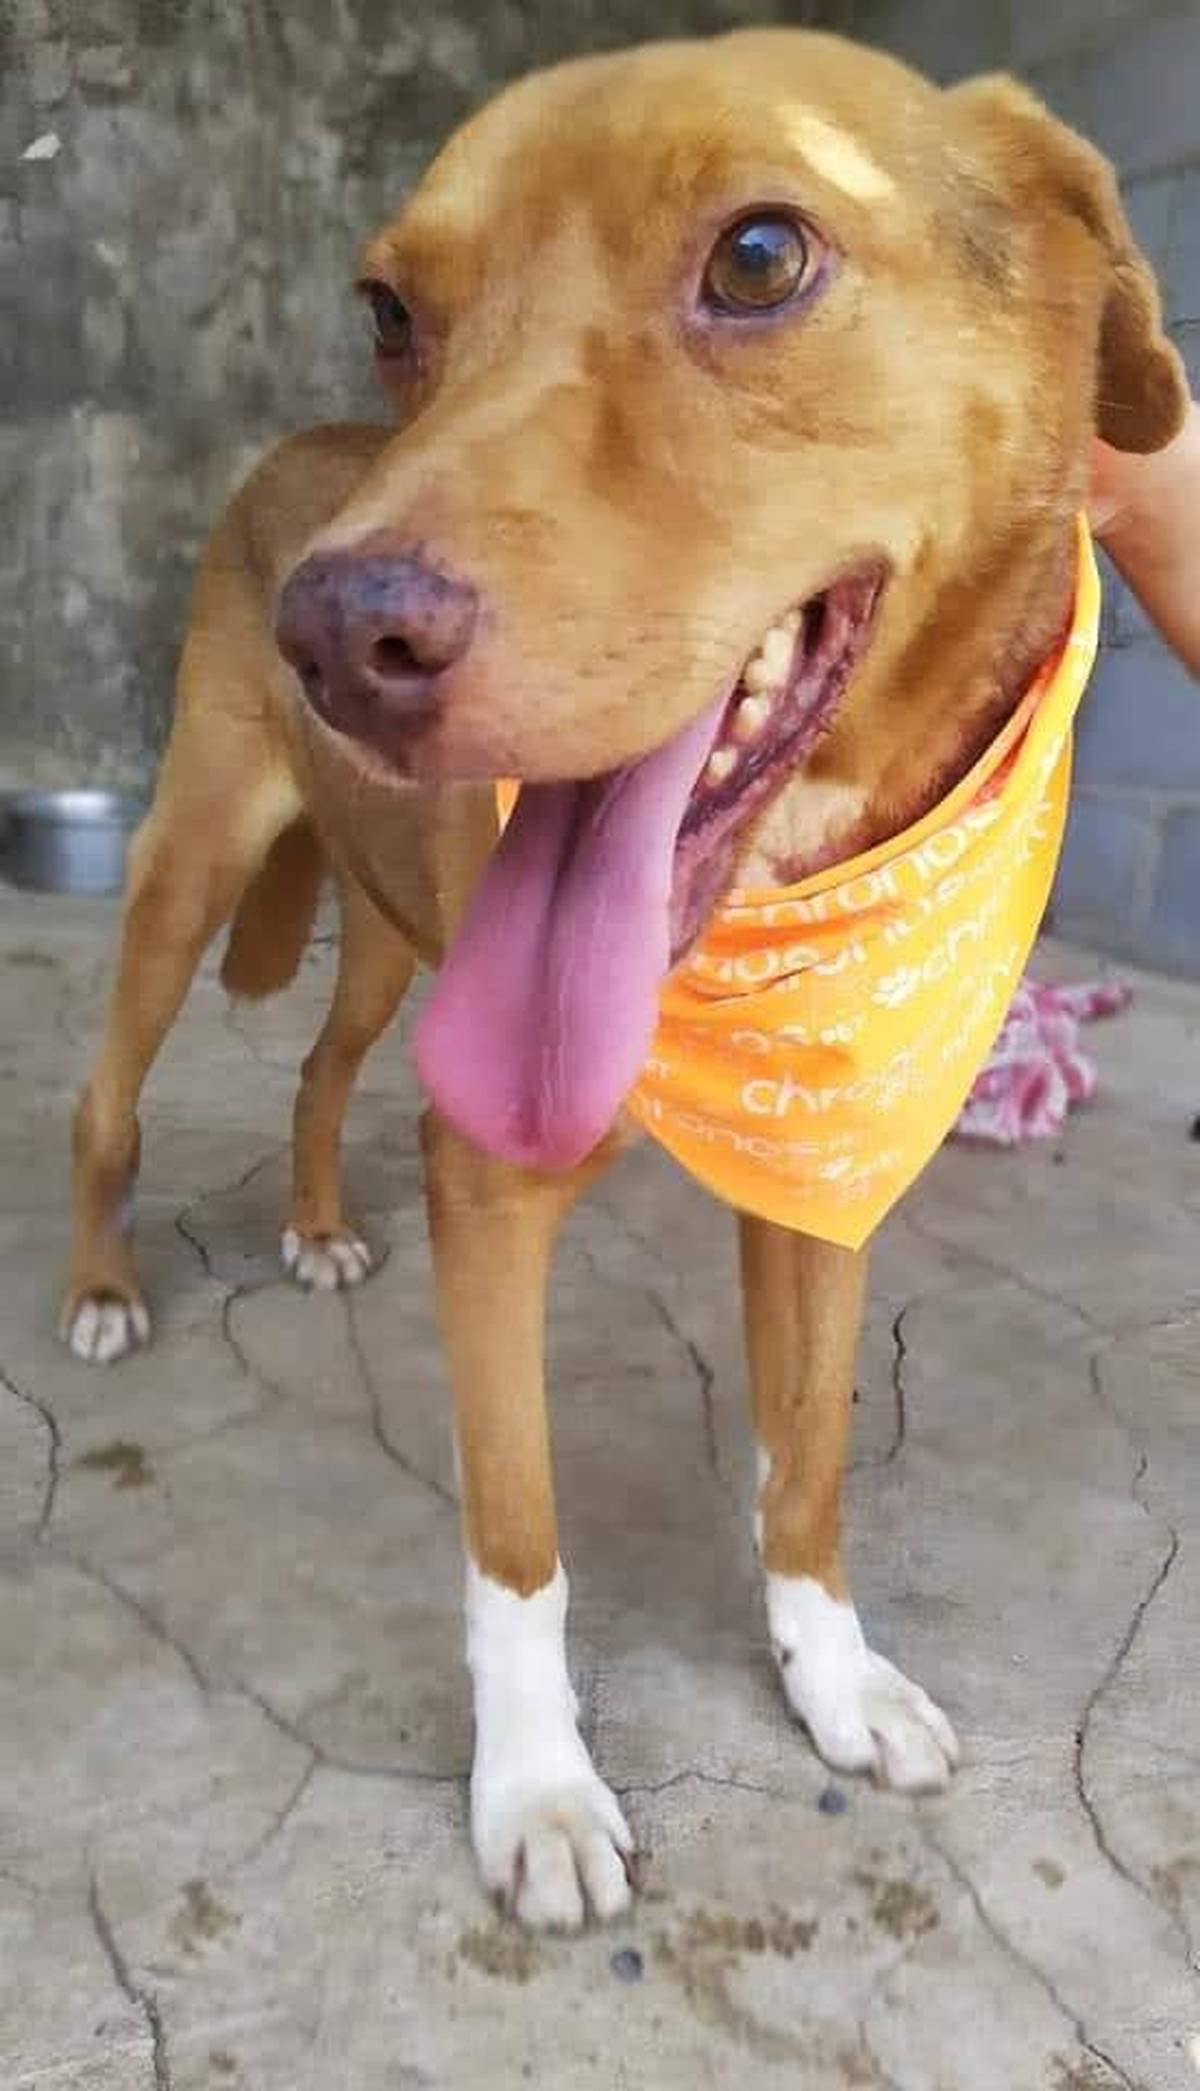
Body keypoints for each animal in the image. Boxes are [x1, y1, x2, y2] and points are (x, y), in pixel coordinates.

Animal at [62, 30, 1186, 1931]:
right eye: (389, 310)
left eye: (760, 257)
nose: (335, 634)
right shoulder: (490, 1184)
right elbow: (519, 1537)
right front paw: (538, 1790)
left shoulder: (822, 1183)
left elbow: (806, 1466)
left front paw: (833, 1678)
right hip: (190, 869)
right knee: (106, 1097)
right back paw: (97, 1284)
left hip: (394, 950)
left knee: (319, 1071)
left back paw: (314, 1224)